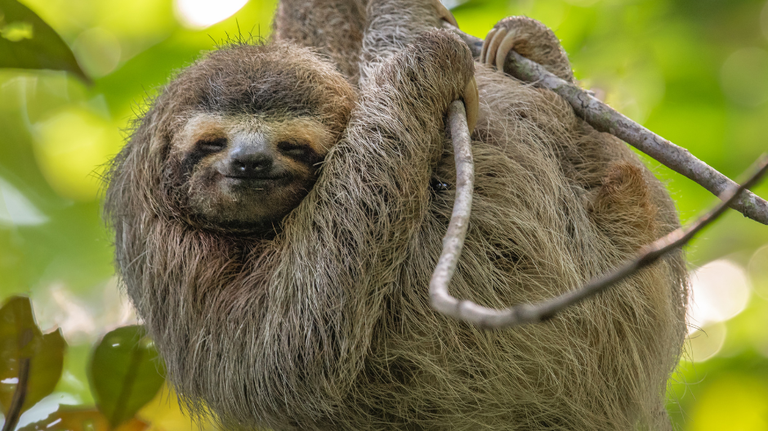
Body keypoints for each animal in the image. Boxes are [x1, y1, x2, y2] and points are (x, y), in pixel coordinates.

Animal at [104, 0, 688, 429]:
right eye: (210, 142)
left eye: (293, 145)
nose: (250, 161)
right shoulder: (167, 255)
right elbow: (280, 351)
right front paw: (424, 54)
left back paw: (534, 49)